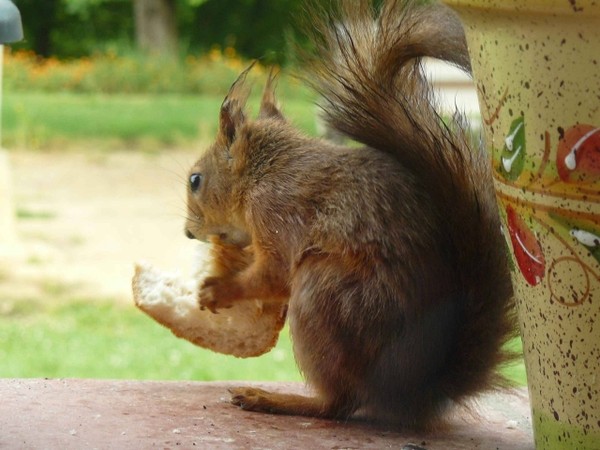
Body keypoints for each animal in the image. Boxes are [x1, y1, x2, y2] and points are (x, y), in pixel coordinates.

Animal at [183, 0, 516, 428]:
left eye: (195, 180)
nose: (189, 233)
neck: (265, 171)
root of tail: (414, 391)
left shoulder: (276, 213)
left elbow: (273, 273)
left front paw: (219, 289)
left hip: (326, 298)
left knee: (339, 403)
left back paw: (273, 399)